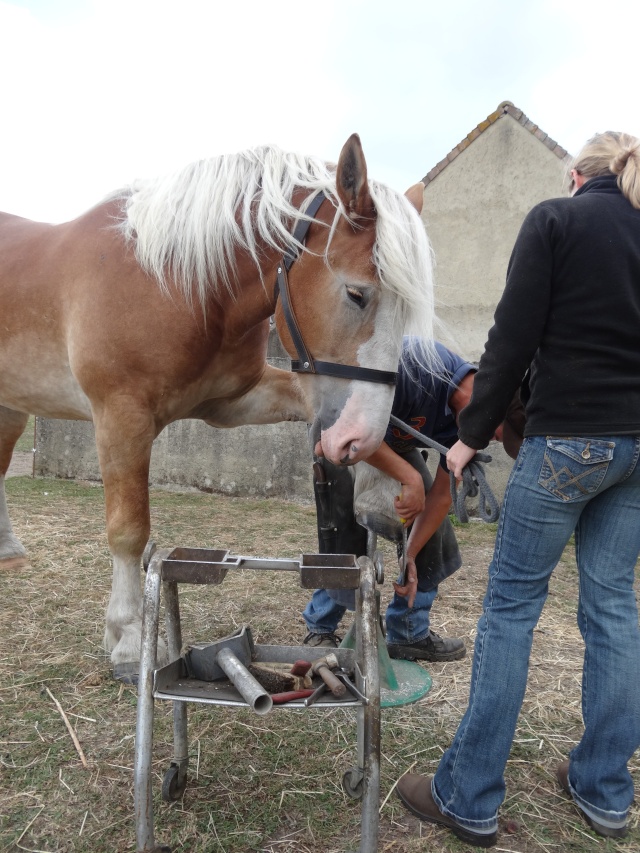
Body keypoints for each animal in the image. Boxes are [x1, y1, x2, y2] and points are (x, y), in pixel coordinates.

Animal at [0, 135, 436, 680]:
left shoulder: (235, 402)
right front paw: (127, 638)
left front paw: (388, 484)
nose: (358, 438)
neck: (172, 281)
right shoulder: (121, 416)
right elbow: (128, 532)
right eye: (357, 294)